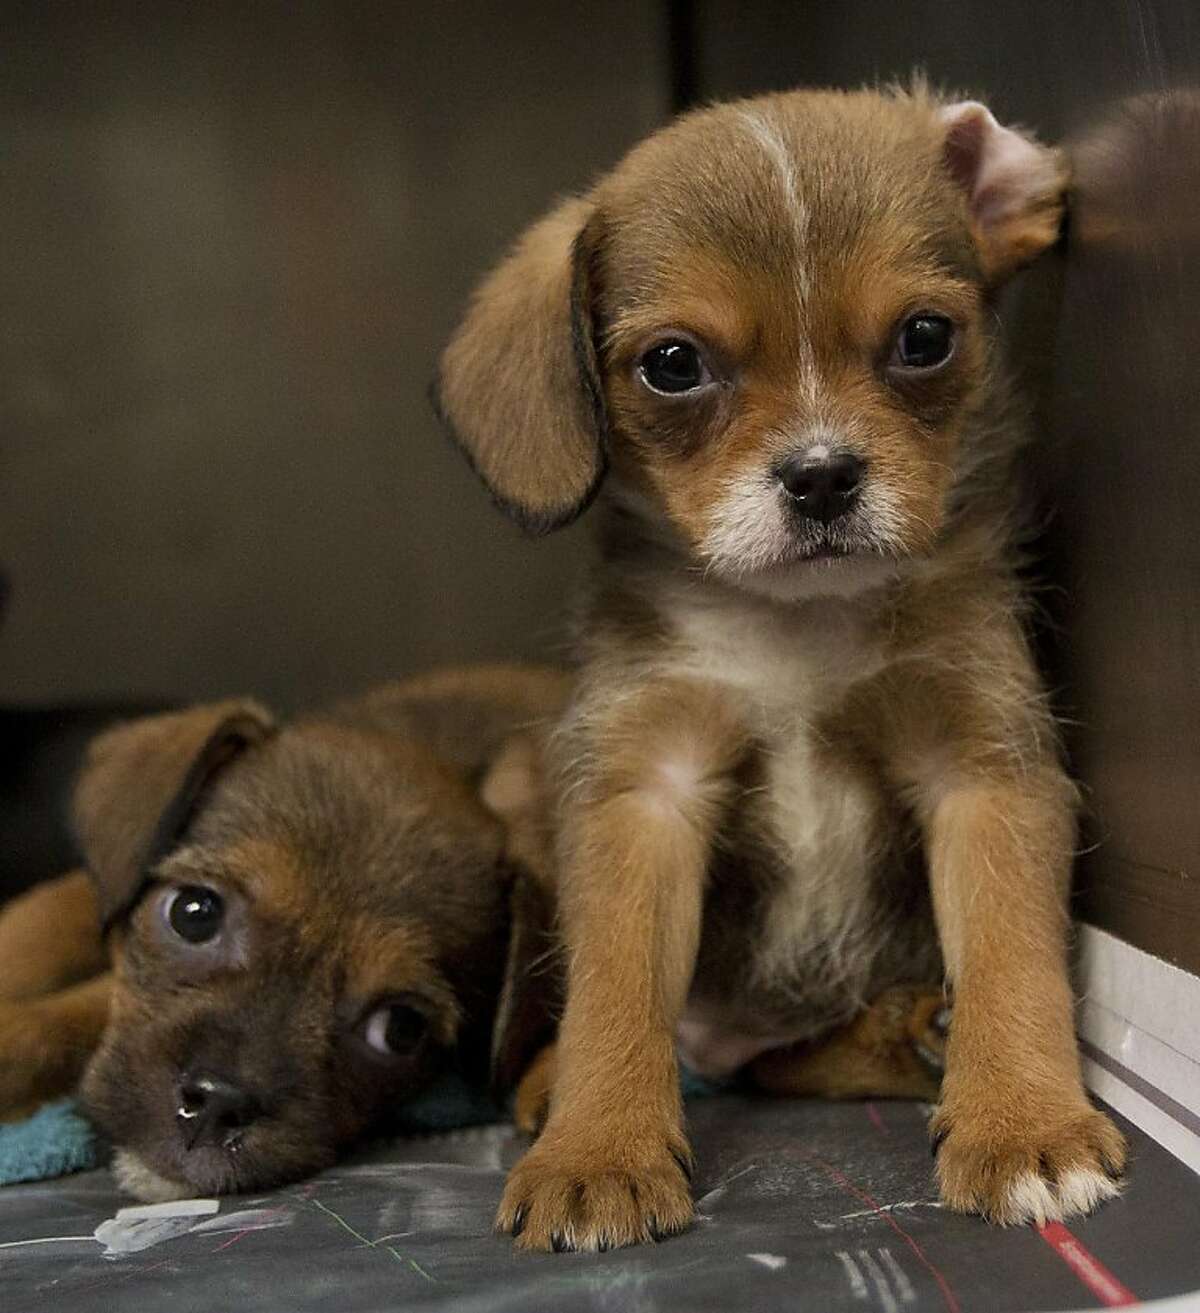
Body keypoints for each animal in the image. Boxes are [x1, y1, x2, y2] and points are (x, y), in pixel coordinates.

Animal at [438, 82, 1123, 1249]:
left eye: (925, 337)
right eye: (674, 363)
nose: (821, 475)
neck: (798, 628)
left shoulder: (985, 770)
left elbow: (1012, 956)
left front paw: (1027, 1120)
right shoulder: (643, 790)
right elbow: (614, 992)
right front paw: (596, 1148)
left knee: (790, 1061)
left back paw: (911, 1031)